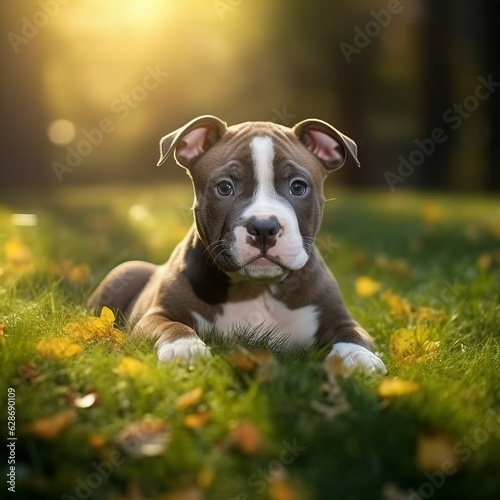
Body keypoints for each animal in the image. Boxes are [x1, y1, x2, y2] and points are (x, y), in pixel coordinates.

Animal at [88, 116, 386, 376]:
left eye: (298, 187)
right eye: (224, 187)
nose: (264, 227)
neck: (255, 288)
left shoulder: (339, 318)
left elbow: (353, 334)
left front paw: (360, 358)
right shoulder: (154, 315)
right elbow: (170, 326)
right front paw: (185, 348)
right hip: (125, 272)